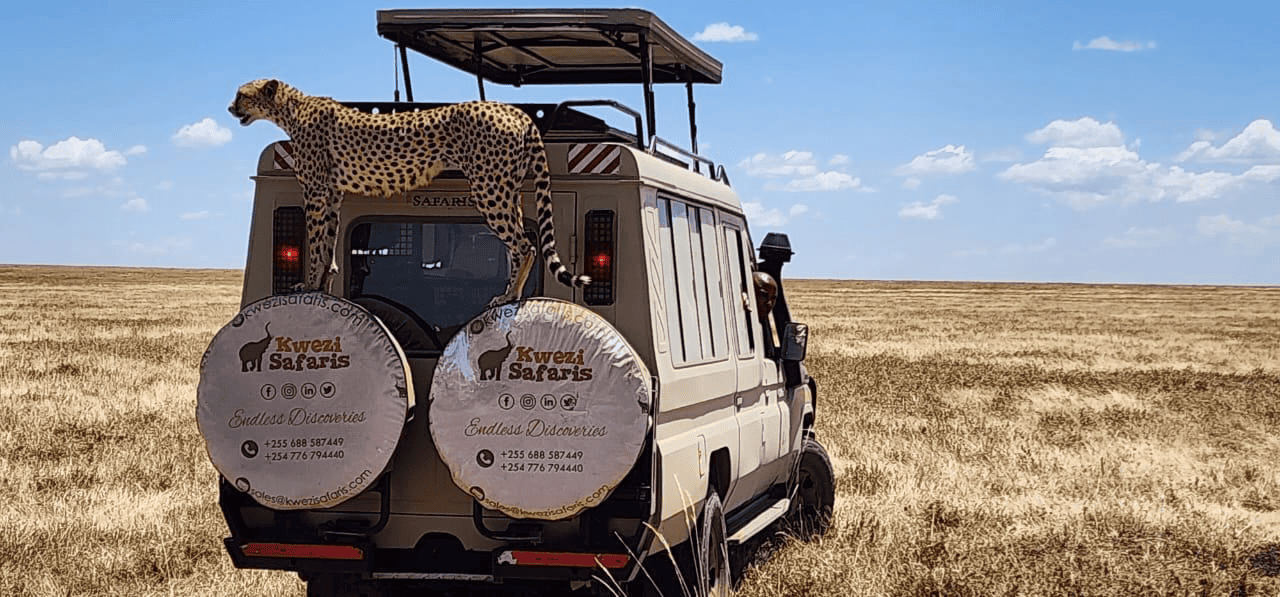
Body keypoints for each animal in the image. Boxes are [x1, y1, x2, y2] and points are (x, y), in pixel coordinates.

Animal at [227, 78, 589, 306]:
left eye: (242, 94)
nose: (230, 108)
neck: (292, 108)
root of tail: (515, 111)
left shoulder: (316, 191)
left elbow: (316, 244)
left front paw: (309, 285)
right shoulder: (332, 194)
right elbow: (327, 244)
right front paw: (322, 286)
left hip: (488, 188)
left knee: (524, 245)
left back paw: (511, 296)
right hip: (508, 189)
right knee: (516, 244)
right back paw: (511, 293)